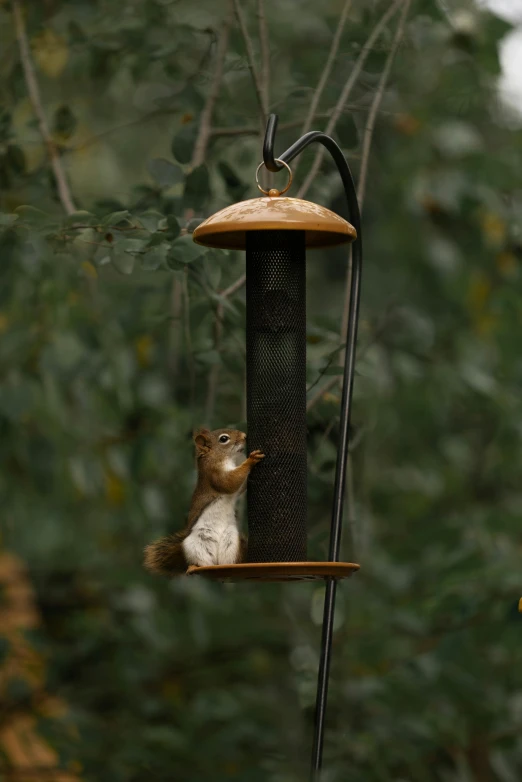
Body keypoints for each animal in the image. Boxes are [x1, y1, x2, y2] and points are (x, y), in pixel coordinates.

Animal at [143, 426, 262, 580]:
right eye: (224, 439)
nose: (244, 436)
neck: (218, 457)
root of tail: (216, 561)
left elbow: (238, 487)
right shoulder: (214, 473)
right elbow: (230, 482)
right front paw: (251, 460)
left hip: (231, 543)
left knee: (227, 561)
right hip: (194, 546)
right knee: (201, 561)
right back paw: (194, 567)